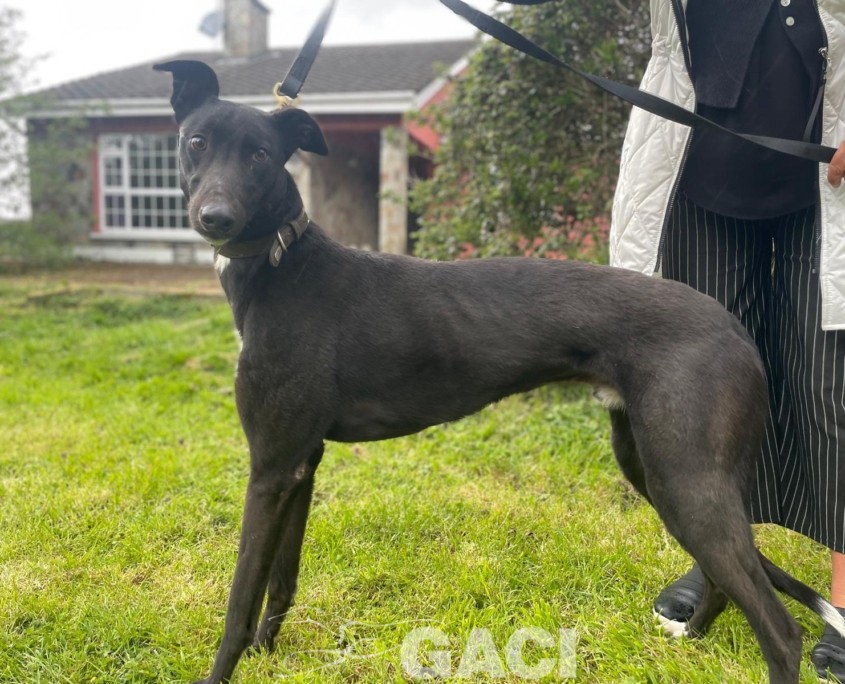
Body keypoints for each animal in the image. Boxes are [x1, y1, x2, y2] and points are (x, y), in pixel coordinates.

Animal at [154, 60, 845, 684]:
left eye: (261, 156)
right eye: (197, 141)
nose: (214, 218)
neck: (284, 263)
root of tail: (737, 330)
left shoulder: (270, 468)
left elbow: (239, 603)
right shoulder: (301, 461)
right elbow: (281, 581)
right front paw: (269, 655)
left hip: (685, 478)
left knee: (779, 630)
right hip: (653, 466)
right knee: (730, 586)